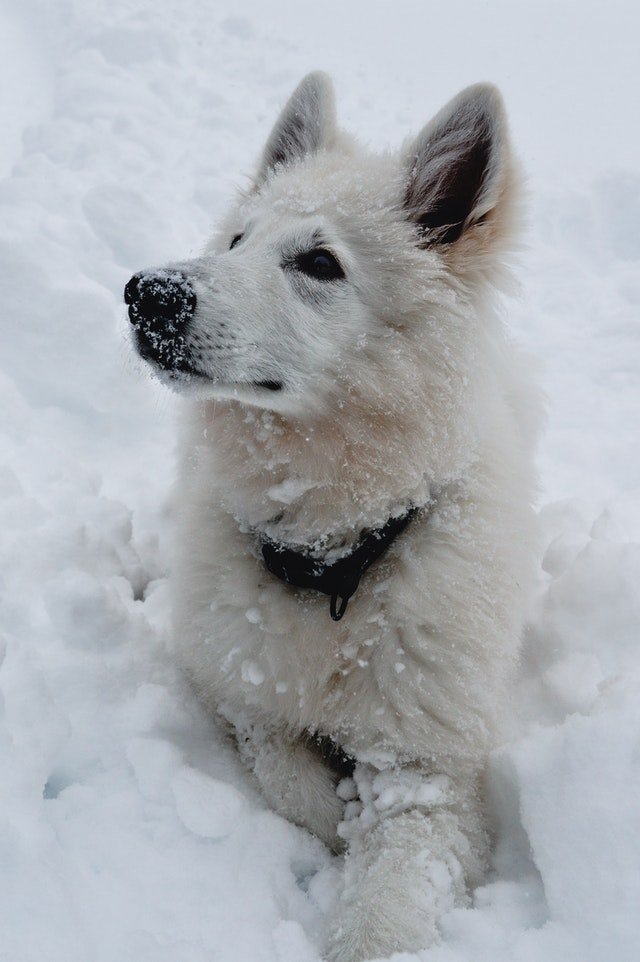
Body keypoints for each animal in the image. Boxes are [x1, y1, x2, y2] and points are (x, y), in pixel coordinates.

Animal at [125, 73, 540, 960]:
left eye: (320, 263)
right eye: (236, 240)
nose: (148, 294)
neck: (334, 558)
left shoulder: (429, 772)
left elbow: (388, 909)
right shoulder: (239, 686)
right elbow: (286, 775)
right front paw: (337, 817)